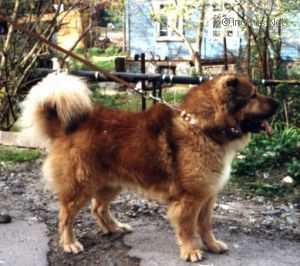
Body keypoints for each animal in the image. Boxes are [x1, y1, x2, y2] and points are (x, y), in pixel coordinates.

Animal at [21, 72, 278, 262]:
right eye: (253, 95)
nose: (277, 102)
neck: (203, 127)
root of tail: (67, 127)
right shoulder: (190, 199)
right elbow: (188, 228)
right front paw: (191, 251)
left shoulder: (207, 196)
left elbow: (205, 226)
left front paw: (212, 245)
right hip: (80, 187)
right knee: (66, 216)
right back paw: (70, 243)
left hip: (111, 184)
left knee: (98, 208)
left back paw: (115, 227)